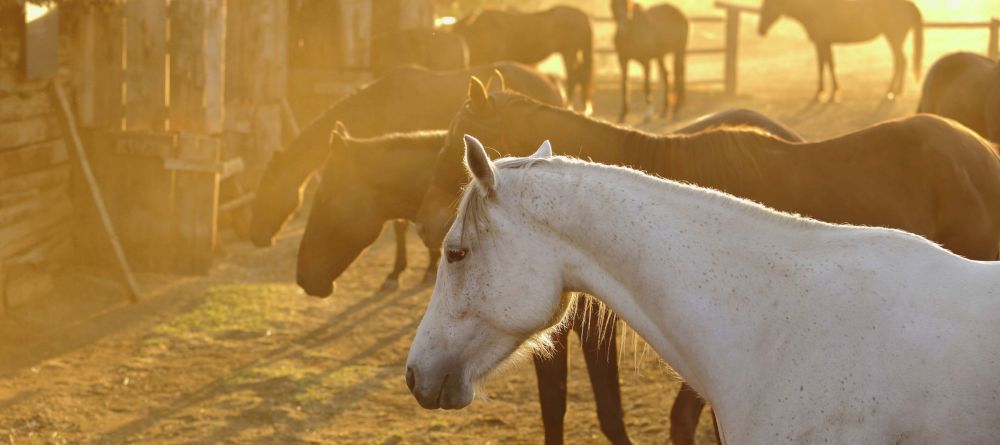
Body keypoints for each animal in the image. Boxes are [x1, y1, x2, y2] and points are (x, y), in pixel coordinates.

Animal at [756, 0, 928, 101]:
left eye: (767, 6)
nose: (760, 30)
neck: (813, 9)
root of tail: (910, 6)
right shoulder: (825, 43)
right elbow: (828, 64)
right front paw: (831, 91)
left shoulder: (821, 42)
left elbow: (824, 65)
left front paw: (823, 92)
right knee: (900, 62)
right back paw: (895, 91)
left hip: (893, 37)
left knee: (901, 61)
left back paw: (892, 91)